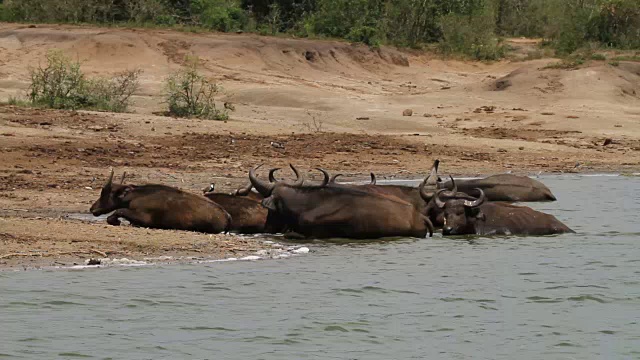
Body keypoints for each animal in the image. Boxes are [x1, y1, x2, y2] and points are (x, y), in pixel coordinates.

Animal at [89, 171, 231, 235]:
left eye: (104, 193)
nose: (92, 209)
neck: (135, 196)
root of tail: (226, 215)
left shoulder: (144, 218)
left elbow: (119, 210)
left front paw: (115, 220)